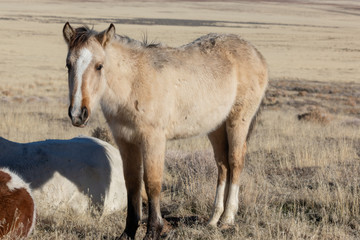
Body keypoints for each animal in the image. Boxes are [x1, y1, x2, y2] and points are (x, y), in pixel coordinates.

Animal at [62, 22, 268, 238]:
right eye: (69, 65)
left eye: (99, 66)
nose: (78, 114)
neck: (134, 82)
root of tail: (256, 53)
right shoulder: (126, 141)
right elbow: (132, 184)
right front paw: (128, 232)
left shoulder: (153, 140)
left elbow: (152, 183)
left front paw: (153, 230)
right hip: (216, 127)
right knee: (223, 165)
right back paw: (213, 220)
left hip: (237, 121)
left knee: (235, 162)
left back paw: (227, 219)